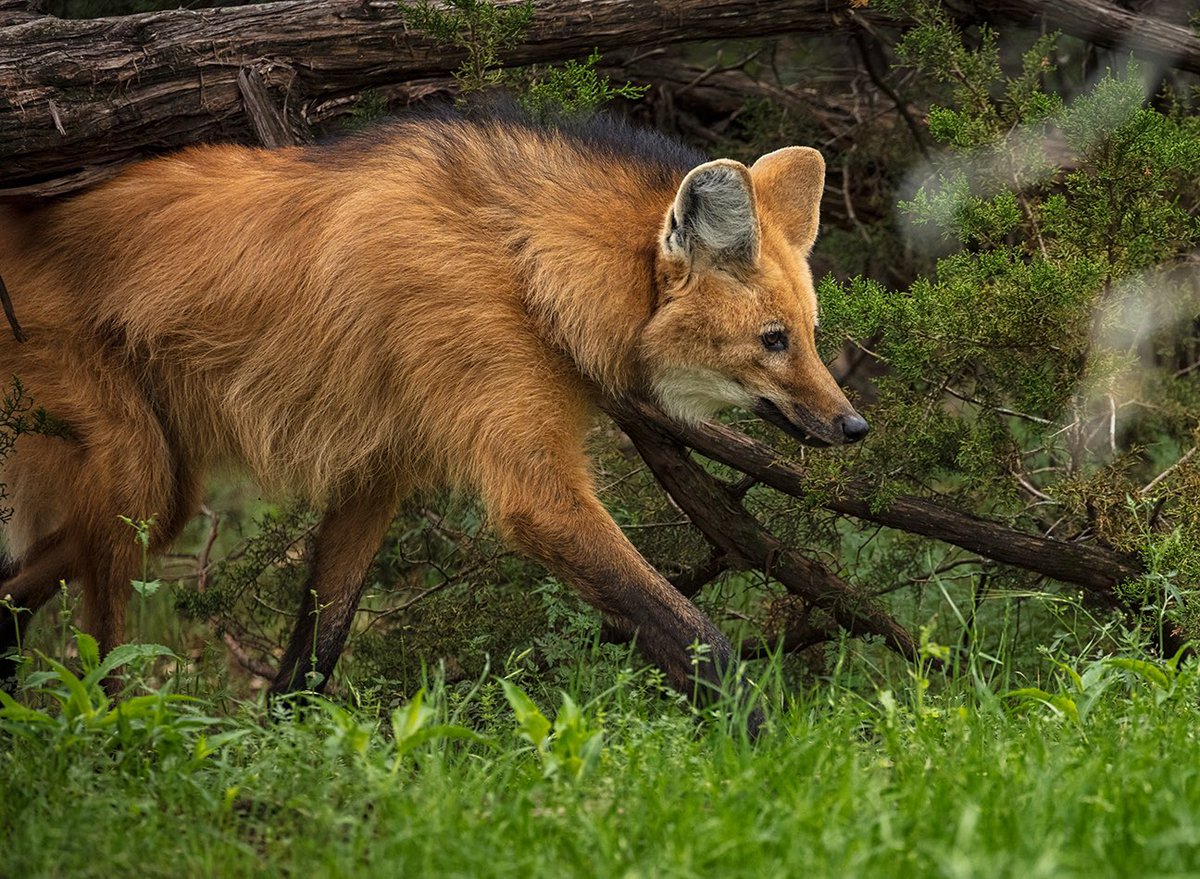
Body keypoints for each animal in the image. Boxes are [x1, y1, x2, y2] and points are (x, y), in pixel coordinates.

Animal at [0, 111, 864, 730]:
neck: (523, 264)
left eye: (810, 332)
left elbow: (316, 650)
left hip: (161, 488)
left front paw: (283, 751)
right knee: (98, 650)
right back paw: (114, 743)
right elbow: (698, 637)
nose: (853, 426)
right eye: (774, 340)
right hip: (136, 478)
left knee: (17, 587)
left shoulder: (377, 472)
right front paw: (777, 750)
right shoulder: (535, 497)